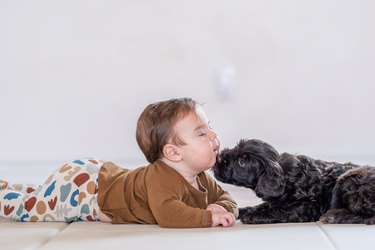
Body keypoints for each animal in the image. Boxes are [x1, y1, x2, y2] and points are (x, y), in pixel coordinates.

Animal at [213, 139, 375, 225]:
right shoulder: (275, 200)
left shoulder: (307, 207)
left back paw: (335, 216)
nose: (218, 157)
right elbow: (261, 206)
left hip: (347, 180)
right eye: (236, 147)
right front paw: (240, 211)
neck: (286, 175)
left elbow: (280, 210)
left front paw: (254, 216)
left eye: (241, 162)